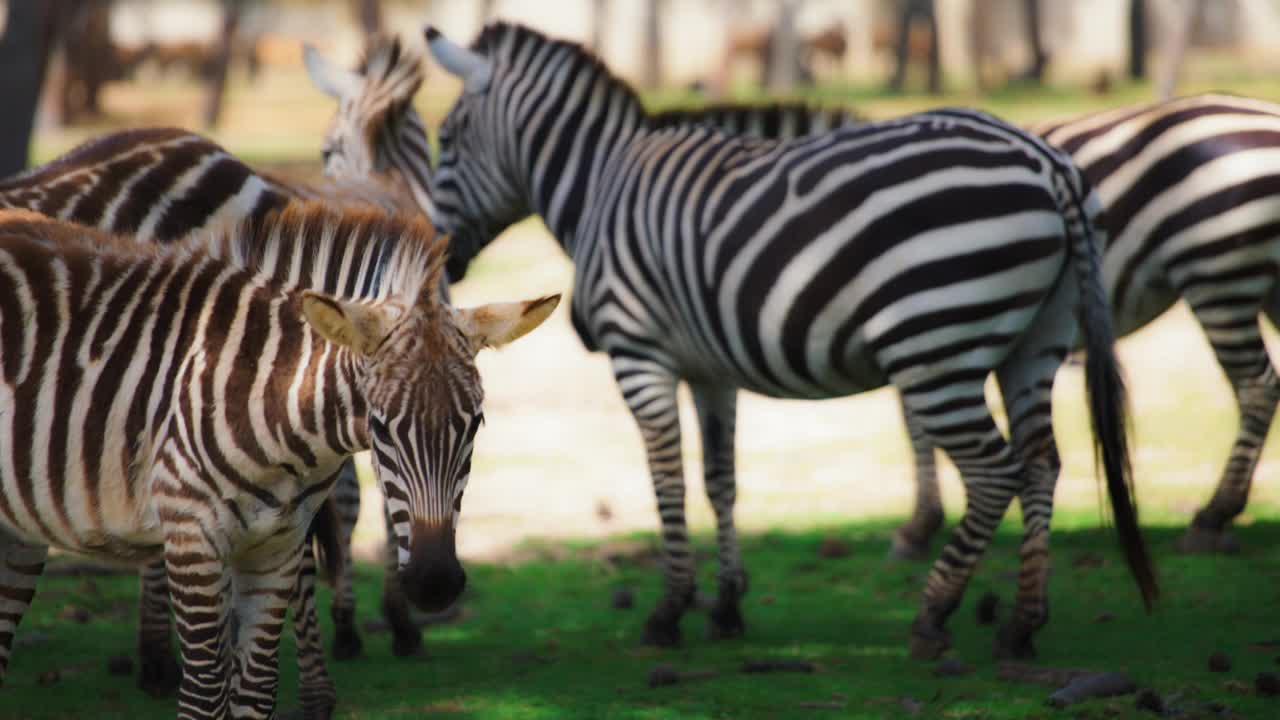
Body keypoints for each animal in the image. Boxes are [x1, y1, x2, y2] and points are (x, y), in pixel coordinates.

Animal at [0, 202, 560, 717]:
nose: (435, 583)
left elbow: (256, 690)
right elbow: (205, 694)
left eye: (475, 424)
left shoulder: (278, 547)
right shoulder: (191, 537)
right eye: (380, 427)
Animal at [422, 23, 1162, 655]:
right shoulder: (709, 371)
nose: (442, 262)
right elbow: (720, 480)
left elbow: (668, 479)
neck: (600, 187)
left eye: (448, 140)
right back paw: (1021, 622)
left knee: (993, 472)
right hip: (1035, 340)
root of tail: (1045, 162)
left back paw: (933, 614)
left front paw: (670, 609)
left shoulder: (640, 355)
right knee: (1042, 463)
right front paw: (727, 606)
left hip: (934, 347)